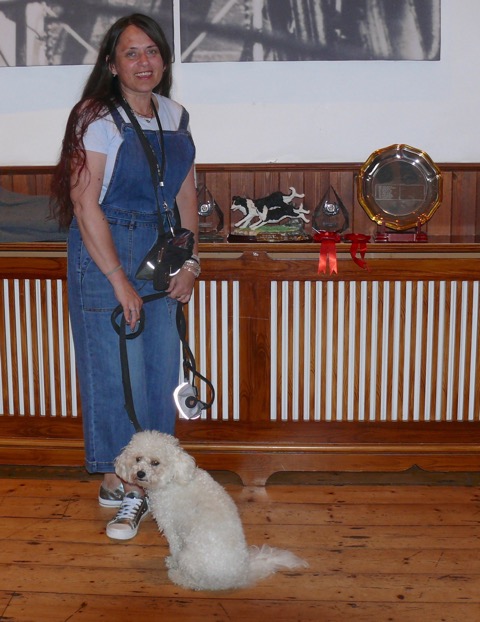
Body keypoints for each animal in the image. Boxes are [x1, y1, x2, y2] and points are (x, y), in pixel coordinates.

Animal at [114, 430, 308, 591]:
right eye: (138, 458)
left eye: (155, 463)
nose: (140, 473)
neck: (172, 479)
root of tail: (241, 575)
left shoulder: (171, 527)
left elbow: (175, 548)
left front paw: (173, 563)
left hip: (189, 557)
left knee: (198, 583)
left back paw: (178, 576)